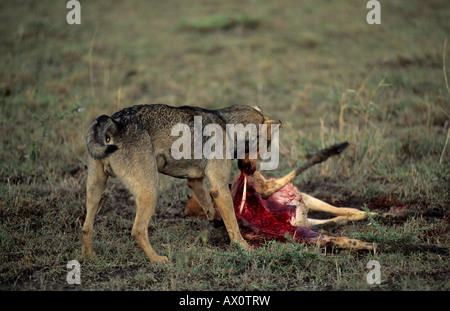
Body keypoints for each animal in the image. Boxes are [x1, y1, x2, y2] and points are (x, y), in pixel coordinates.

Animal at [81, 105, 282, 264]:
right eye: (265, 148)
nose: (251, 171)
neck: (228, 125)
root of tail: (115, 122)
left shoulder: (195, 181)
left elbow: (211, 209)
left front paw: (217, 220)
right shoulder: (219, 187)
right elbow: (233, 222)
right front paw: (244, 247)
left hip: (95, 189)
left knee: (86, 227)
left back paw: (89, 257)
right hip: (150, 191)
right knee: (137, 230)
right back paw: (158, 260)